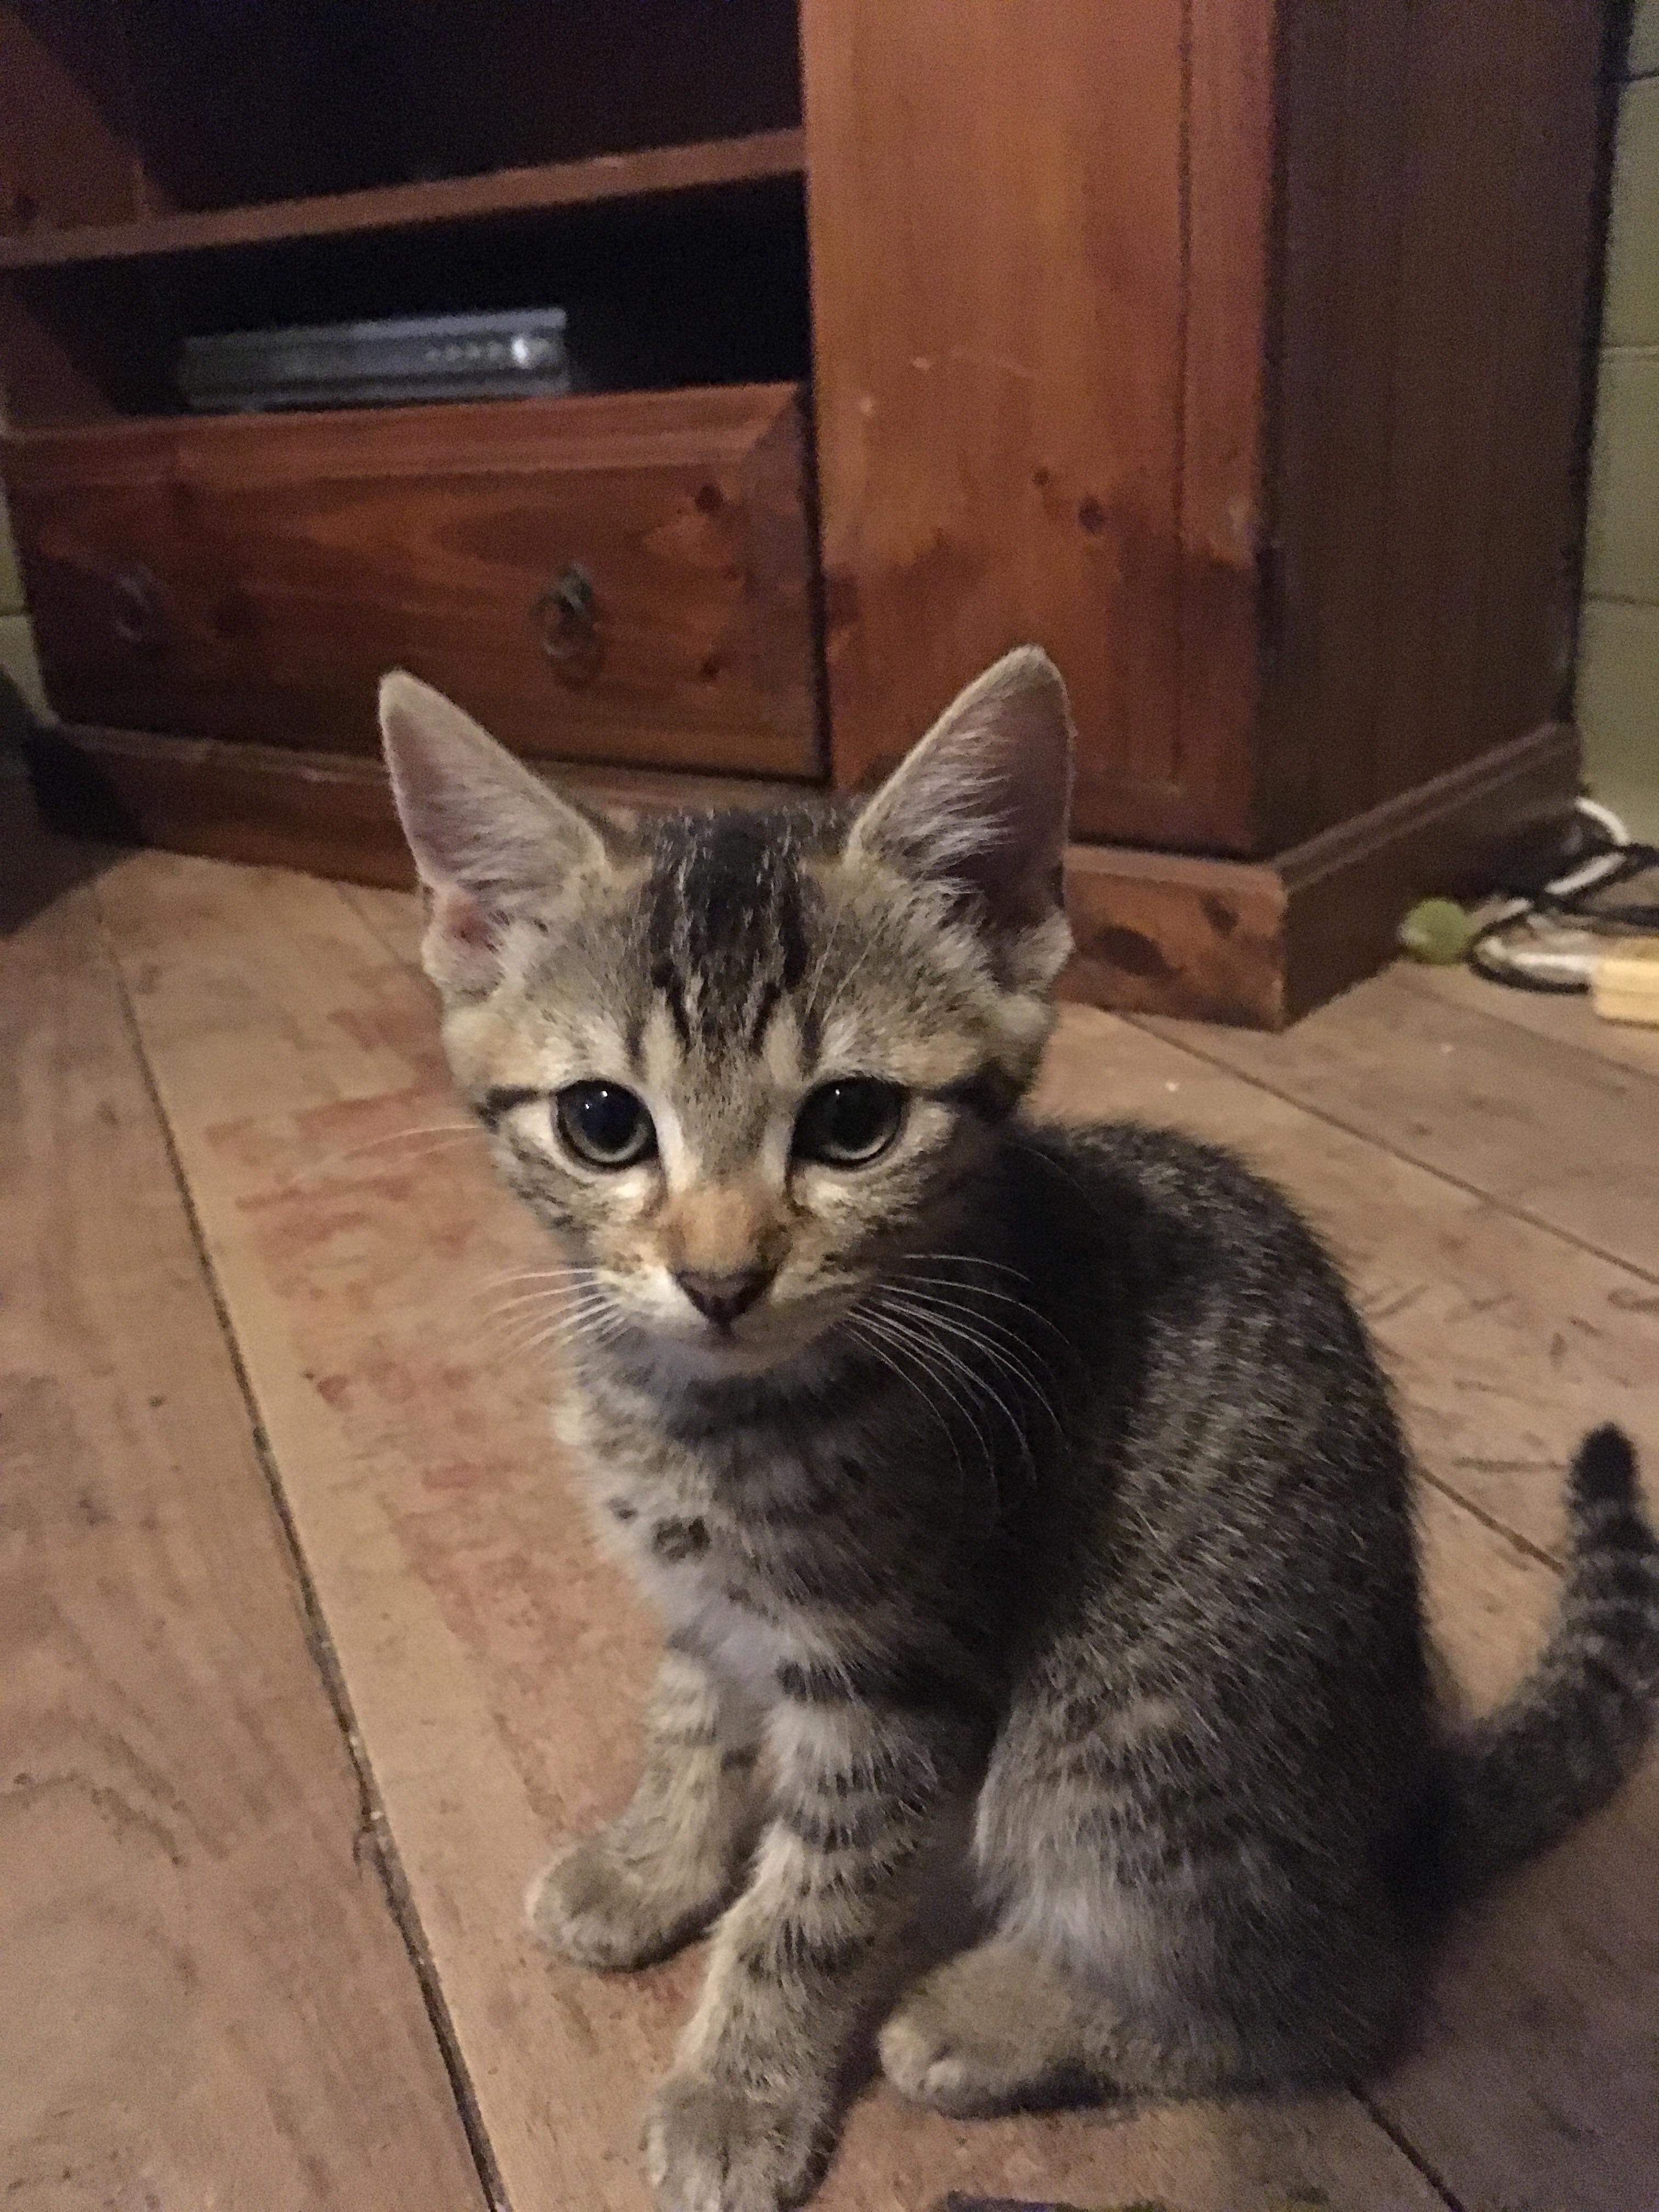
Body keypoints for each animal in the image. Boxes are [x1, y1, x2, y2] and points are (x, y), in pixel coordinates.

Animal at [380, 648, 1659, 2212]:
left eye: (852, 1122)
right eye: (604, 1123)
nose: (720, 1279)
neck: (707, 1410)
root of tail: (1398, 1815)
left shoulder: (899, 1682)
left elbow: (806, 1910)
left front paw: (738, 2087)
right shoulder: (708, 1606)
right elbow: (687, 1717)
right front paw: (653, 1863)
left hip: (1117, 1737)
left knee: (1332, 2002)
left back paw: (1003, 2014)